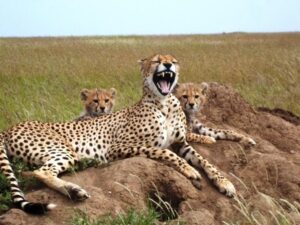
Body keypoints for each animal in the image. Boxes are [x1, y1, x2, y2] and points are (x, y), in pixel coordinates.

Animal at [0, 54, 234, 214]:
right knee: (40, 172)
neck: (165, 103)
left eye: (174, 61)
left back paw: (74, 191)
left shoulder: (181, 142)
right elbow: (167, 154)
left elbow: (206, 161)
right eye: (157, 60)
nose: (167, 65)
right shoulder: (116, 148)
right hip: (62, 150)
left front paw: (225, 184)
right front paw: (189, 170)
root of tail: (9, 127)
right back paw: (75, 191)